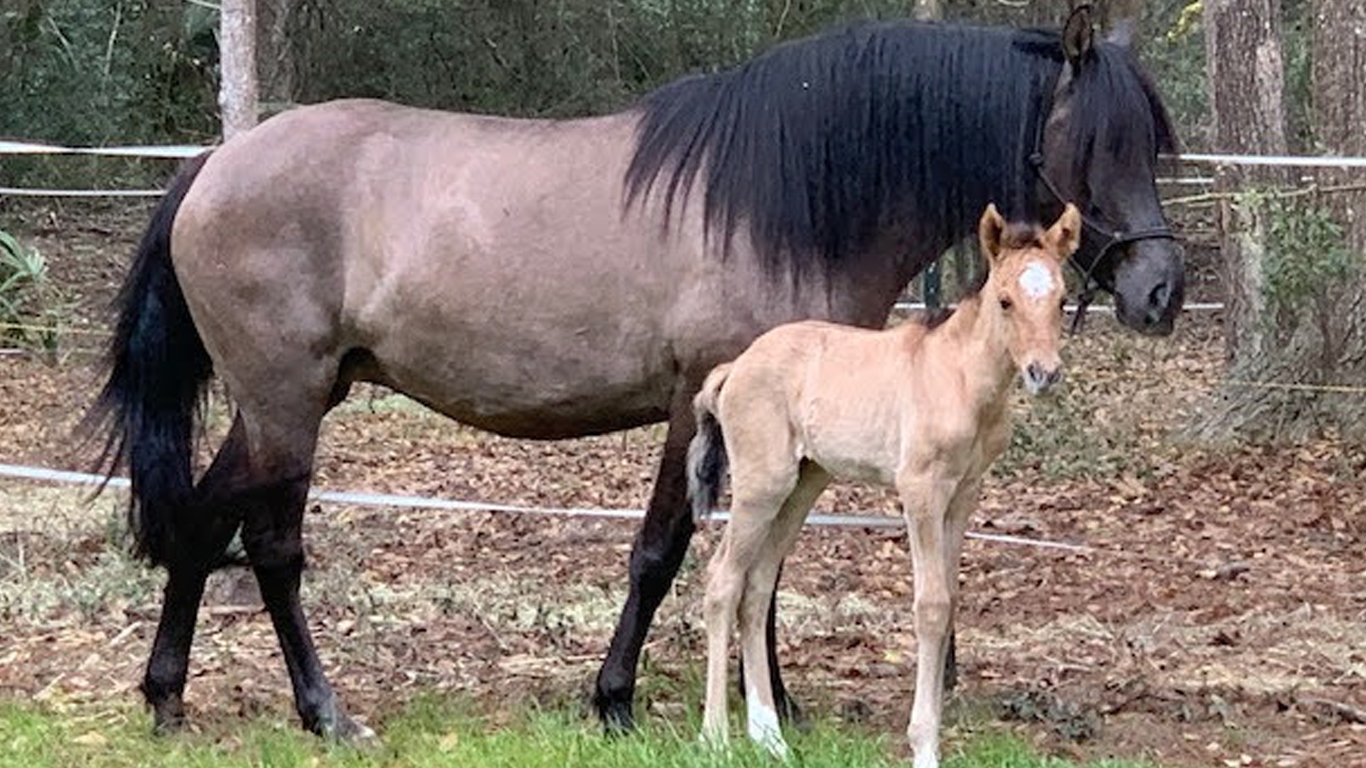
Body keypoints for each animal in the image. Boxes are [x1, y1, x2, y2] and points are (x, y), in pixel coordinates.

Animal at [90, 7, 1185, 737]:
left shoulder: (781, 439)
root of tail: (214, 165)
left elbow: (762, 570)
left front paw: (774, 704)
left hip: (277, 404)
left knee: (202, 521)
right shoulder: (699, 411)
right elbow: (664, 555)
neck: (782, 198)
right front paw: (616, 700)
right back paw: (325, 713)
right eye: (1093, 142)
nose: (1162, 291)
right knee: (271, 546)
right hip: (288, 406)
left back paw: (166, 696)